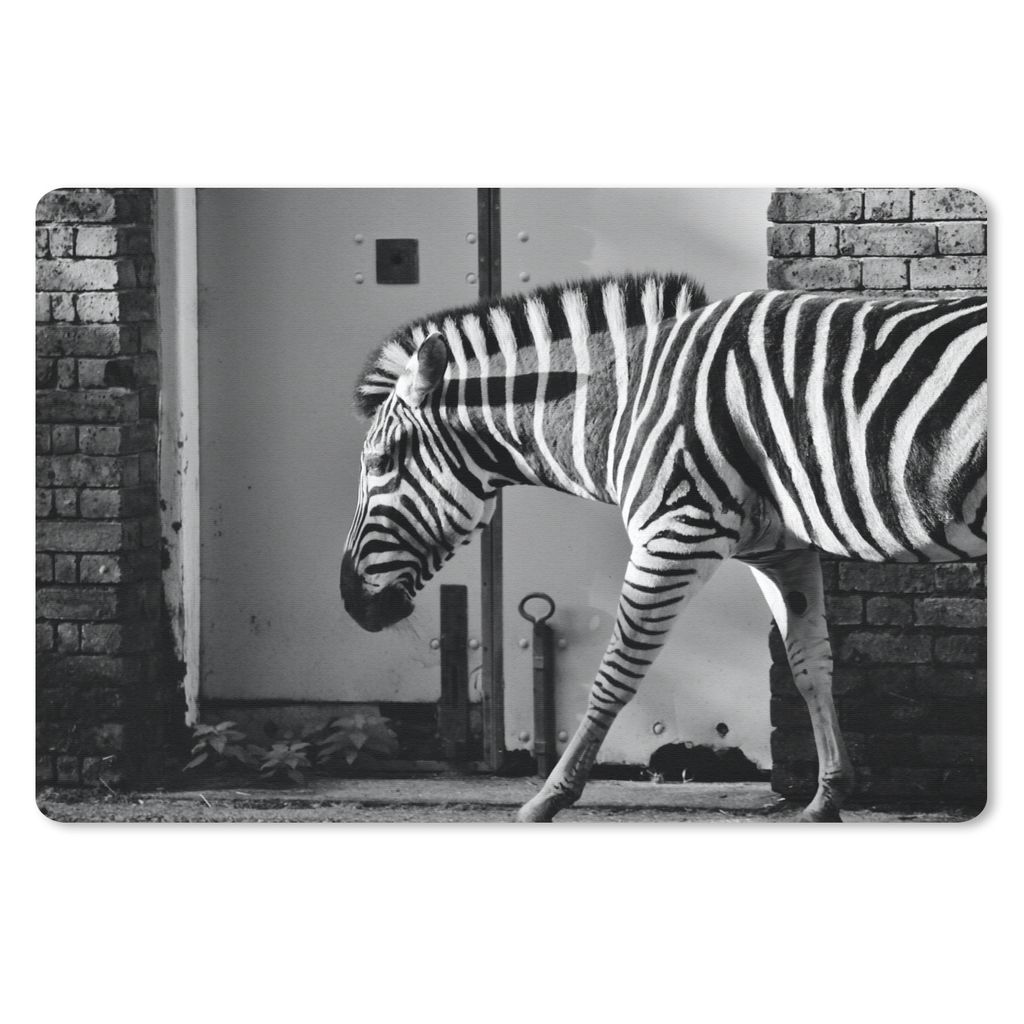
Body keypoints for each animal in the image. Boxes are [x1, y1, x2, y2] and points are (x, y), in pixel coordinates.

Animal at [340, 273, 987, 822]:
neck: (628, 403)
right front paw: (828, 797)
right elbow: (809, 665)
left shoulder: (675, 530)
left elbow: (615, 671)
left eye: (380, 462)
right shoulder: (780, 550)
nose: (351, 602)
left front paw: (548, 796)